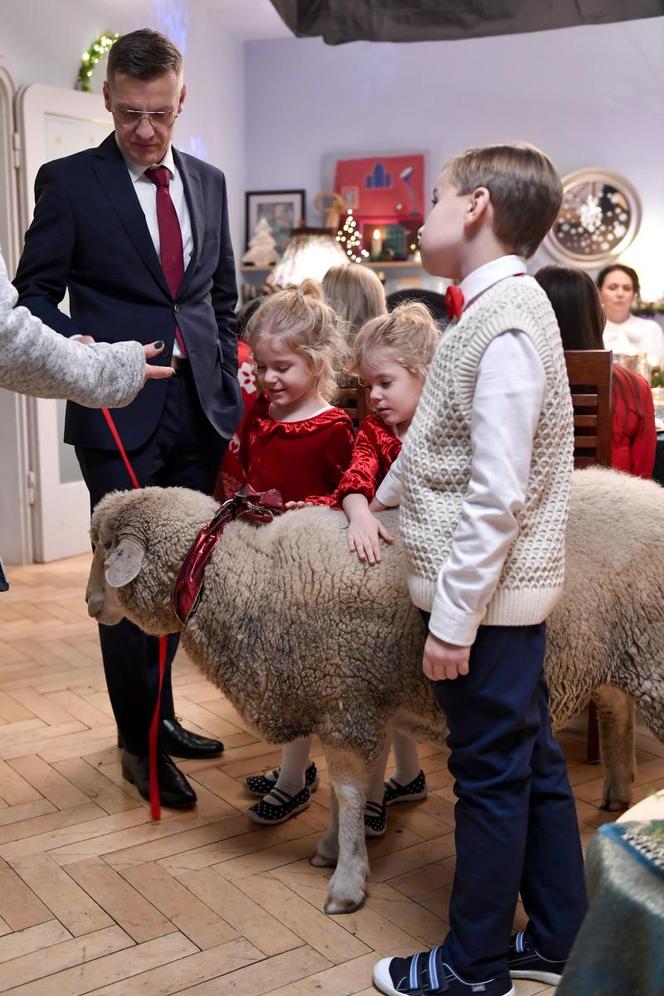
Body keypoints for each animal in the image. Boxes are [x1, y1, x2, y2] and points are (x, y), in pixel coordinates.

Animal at [85, 468, 664, 920]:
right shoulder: (358, 695)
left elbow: (346, 791)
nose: (91, 605)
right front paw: (334, 848)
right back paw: (618, 792)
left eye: (101, 547)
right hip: (611, 651)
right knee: (615, 708)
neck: (242, 573)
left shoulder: (345, 701)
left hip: (652, 660)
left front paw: (346, 881)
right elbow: (358, 783)